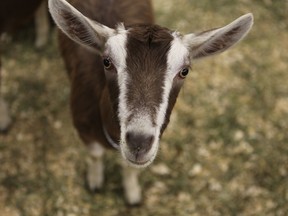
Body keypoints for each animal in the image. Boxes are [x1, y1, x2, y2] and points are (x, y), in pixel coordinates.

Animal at [48, 0, 253, 205]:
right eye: (107, 62)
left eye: (184, 71)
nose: (139, 143)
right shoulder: (82, 125)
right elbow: (95, 155)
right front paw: (95, 182)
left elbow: (128, 166)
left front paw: (132, 194)